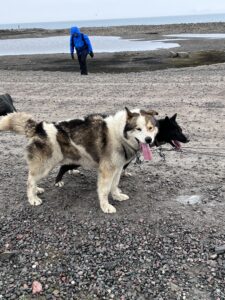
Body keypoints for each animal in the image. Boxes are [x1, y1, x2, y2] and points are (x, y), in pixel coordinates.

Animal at [0, 108, 158, 213]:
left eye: (150, 128)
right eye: (138, 129)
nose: (148, 140)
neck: (119, 133)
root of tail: (39, 127)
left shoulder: (117, 168)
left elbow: (114, 186)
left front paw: (117, 196)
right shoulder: (107, 170)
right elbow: (104, 190)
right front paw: (105, 206)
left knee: (32, 180)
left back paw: (36, 190)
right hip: (45, 165)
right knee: (30, 180)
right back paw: (32, 198)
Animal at [54, 114, 188, 186]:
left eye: (181, 129)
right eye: (176, 130)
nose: (188, 139)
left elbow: (125, 167)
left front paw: (123, 173)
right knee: (63, 167)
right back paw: (58, 181)